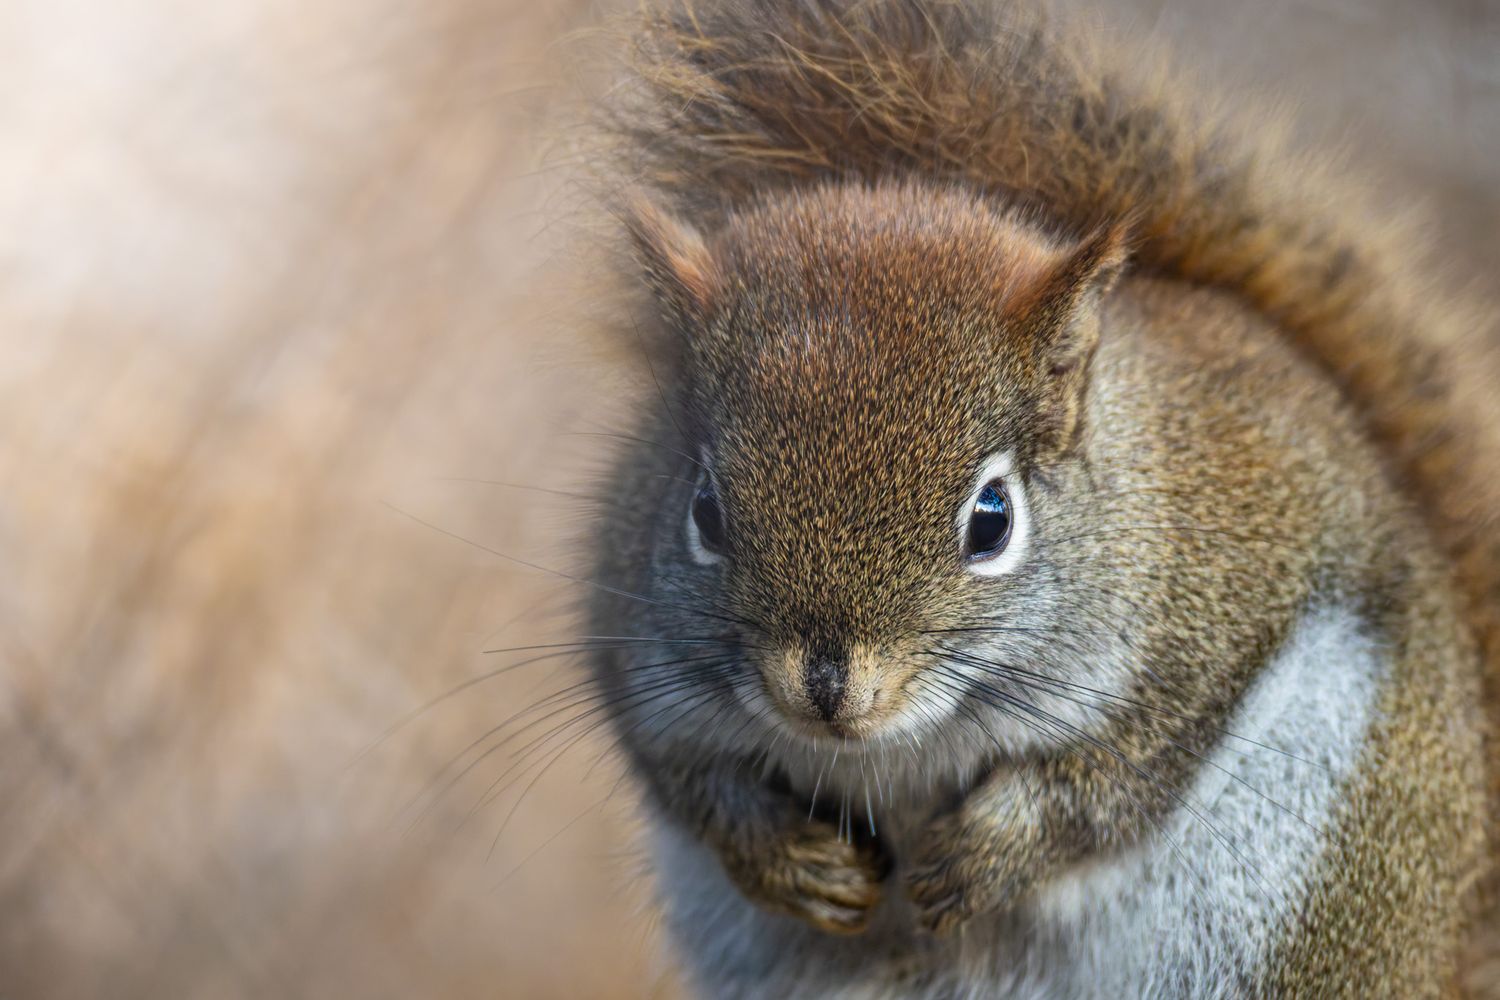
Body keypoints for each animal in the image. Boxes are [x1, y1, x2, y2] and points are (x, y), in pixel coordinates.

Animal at [582, 0, 1500, 995]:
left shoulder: (1222, 604)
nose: (825, 691)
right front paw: (789, 859)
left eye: (992, 521)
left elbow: (1113, 776)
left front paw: (986, 855)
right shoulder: (635, 647)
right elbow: (684, 772)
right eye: (705, 511)